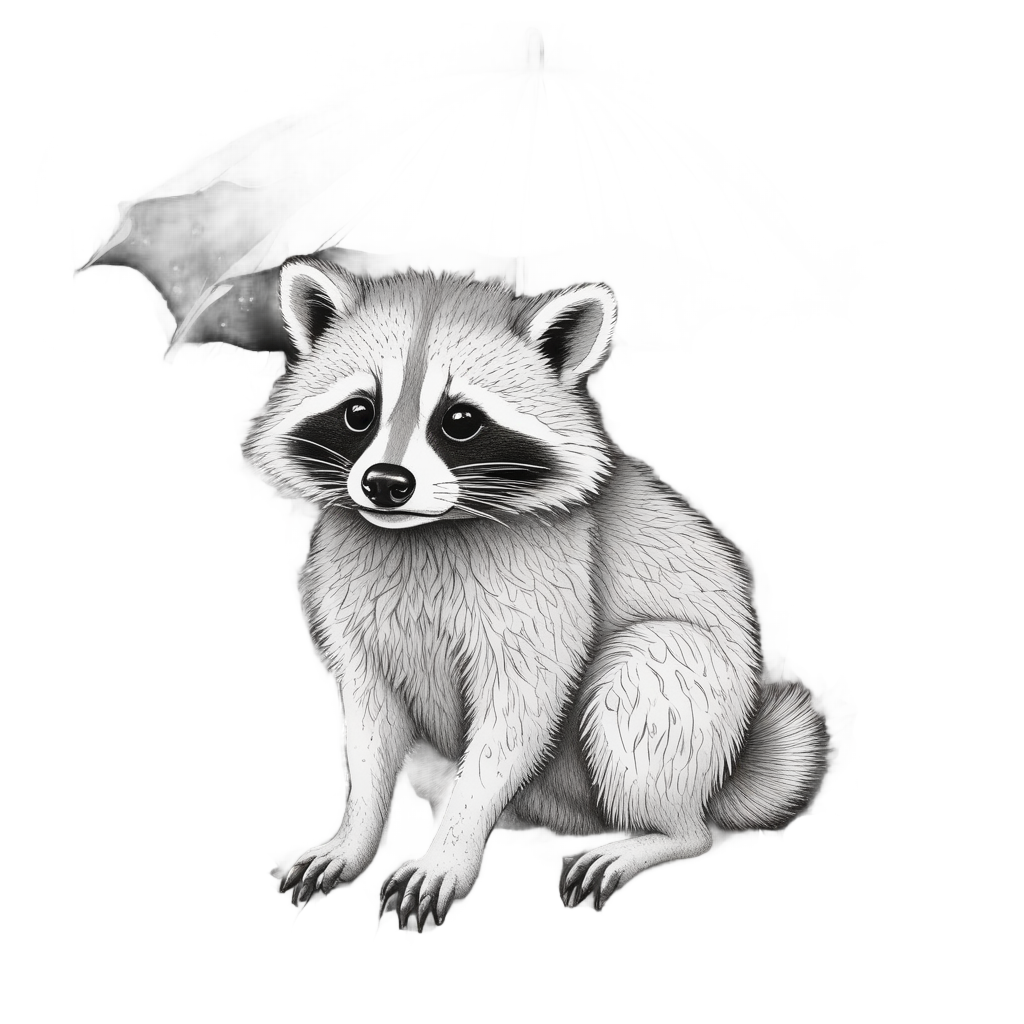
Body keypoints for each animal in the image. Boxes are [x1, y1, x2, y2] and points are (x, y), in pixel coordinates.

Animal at [245, 258, 828, 927]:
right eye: (359, 411)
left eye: (460, 420)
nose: (385, 482)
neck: (423, 530)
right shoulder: (349, 596)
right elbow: (368, 723)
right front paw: (355, 834)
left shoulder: (550, 584)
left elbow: (516, 717)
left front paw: (451, 848)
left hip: (687, 702)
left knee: (647, 673)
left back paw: (660, 834)